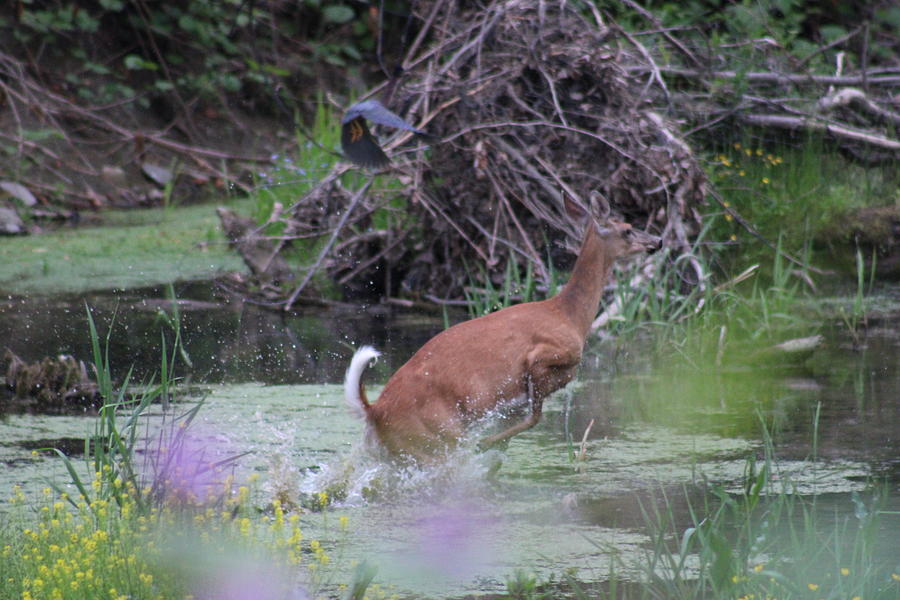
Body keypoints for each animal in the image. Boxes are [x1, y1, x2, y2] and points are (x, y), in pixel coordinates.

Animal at [342, 198, 660, 464]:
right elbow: (534, 419)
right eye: (628, 230)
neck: (570, 316)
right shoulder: (540, 358)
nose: (656, 241)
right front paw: (485, 443)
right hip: (435, 438)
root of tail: (375, 412)